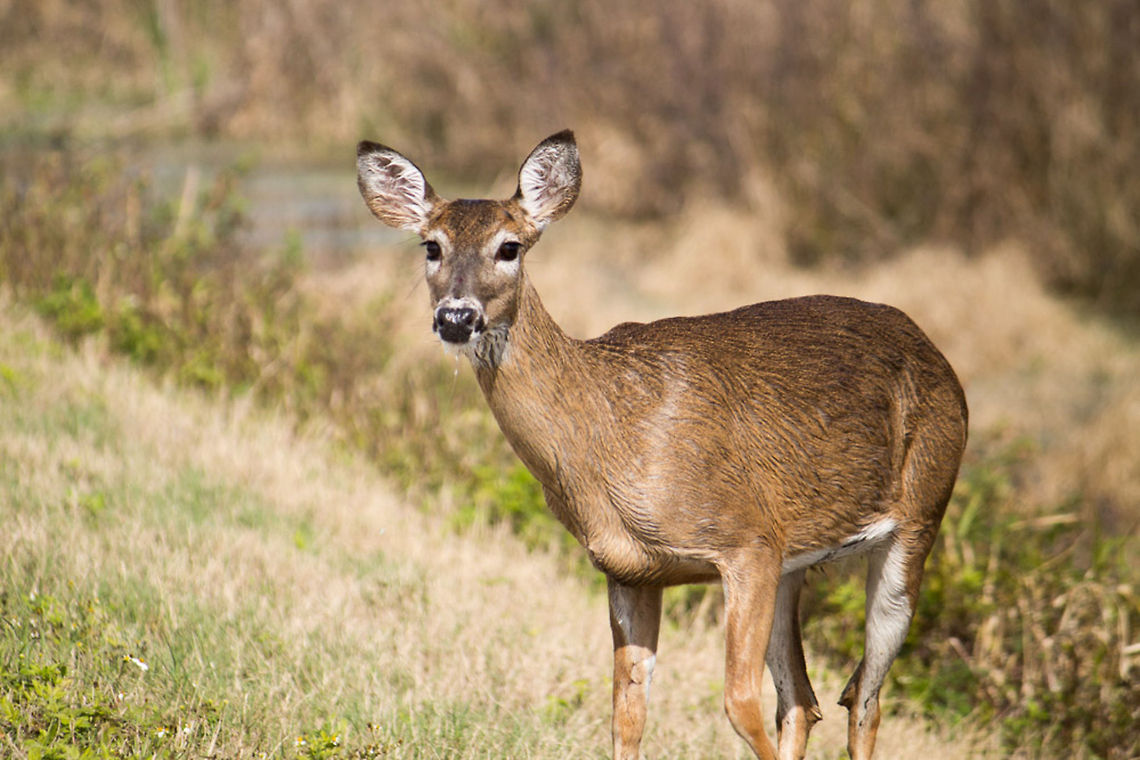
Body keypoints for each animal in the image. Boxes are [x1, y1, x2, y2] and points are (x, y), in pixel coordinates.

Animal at [356, 130, 968, 760]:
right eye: (431, 245)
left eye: (510, 247)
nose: (456, 317)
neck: (610, 435)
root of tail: (935, 353)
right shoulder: (632, 569)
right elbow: (627, 713)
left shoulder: (745, 539)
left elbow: (737, 701)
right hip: (794, 558)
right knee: (805, 699)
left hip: (921, 512)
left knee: (864, 698)